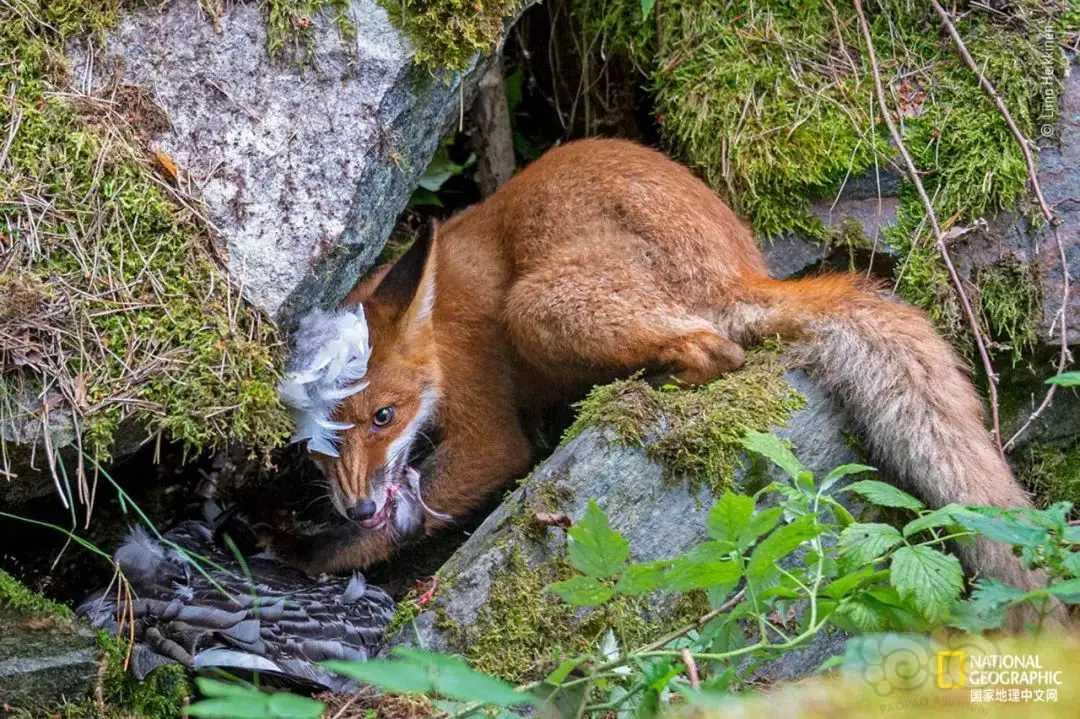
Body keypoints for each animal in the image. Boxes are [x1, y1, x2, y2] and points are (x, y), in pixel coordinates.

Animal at [280, 137, 1045, 595]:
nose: (358, 504)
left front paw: (313, 556)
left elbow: (444, 489)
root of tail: (741, 268)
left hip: (538, 306)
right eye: (318, 446)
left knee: (717, 349)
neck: (441, 326)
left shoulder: (486, 426)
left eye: (385, 415)